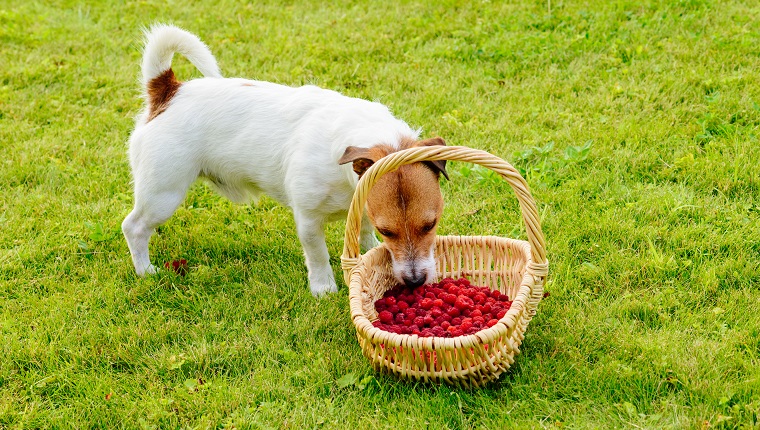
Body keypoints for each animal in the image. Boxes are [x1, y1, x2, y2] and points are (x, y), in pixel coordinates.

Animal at [121, 25, 448, 298]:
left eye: (431, 225)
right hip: (163, 194)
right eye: (388, 231)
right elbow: (317, 255)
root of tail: (168, 91)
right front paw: (323, 288)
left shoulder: (363, 202)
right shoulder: (308, 220)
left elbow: (363, 234)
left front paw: (370, 257)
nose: (416, 281)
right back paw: (145, 270)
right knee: (134, 227)